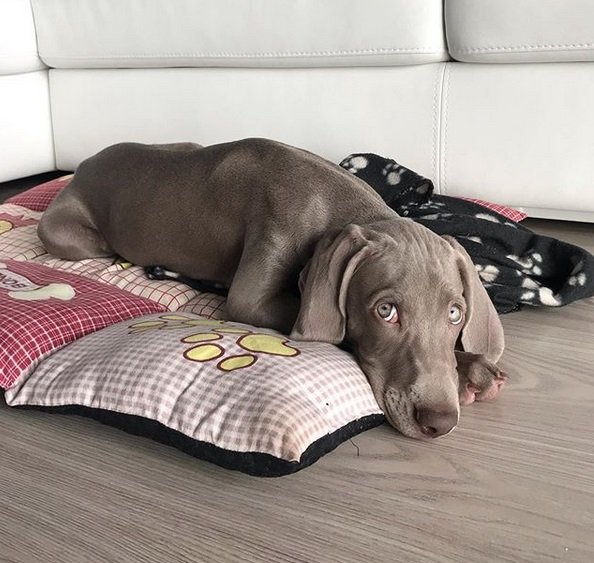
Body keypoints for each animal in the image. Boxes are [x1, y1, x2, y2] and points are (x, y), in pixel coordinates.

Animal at [38, 140, 504, 440]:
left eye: (455, 314)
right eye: (385, 310)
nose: (439, 422)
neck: (338, 206)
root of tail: (84, 164)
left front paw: (473, 367)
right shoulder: (252, 298)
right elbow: (333, 329)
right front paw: (469, 373)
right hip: (74, 237)